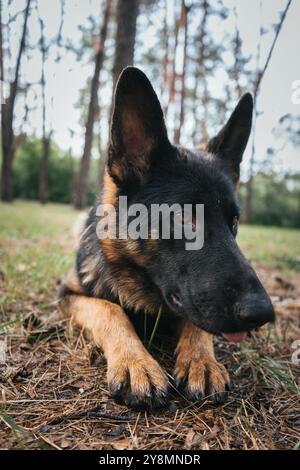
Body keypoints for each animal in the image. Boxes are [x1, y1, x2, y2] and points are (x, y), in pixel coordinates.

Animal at [58, 68, 274, 410]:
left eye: (235, 221)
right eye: (184, 217)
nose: (262, 313)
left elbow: (196, 322)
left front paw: (201, 360)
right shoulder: (67, 295)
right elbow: (109, 310)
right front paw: (136, 362)